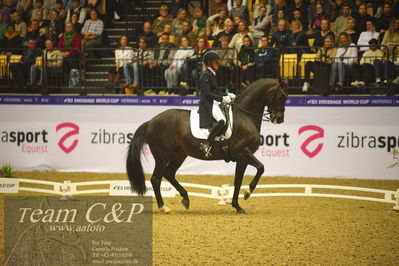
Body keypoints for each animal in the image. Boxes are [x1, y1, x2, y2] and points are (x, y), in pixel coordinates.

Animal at [126, 78, 286, 214]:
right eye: (281, 97)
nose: (279, 119)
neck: (244, 116)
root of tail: (151, 121)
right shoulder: (243, 153)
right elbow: (261, 168)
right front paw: (247, 193)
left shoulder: (242, 159)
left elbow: (238, 181)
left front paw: (237, 206)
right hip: (162, 155)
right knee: (156, 179)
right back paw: (164, 207)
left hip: (179, 154)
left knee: (169, 174)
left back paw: (185, 199)